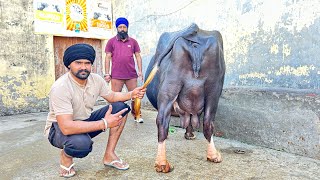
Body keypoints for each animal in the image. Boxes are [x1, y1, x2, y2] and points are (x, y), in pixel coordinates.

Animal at [145, 23, 225, 172]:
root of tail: (195, 28)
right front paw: (190, 134)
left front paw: (189, 134)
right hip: (213, 90)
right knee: (207, 122)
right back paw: (214, 155)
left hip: (171, 88)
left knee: (162, 121)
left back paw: (162, 163)